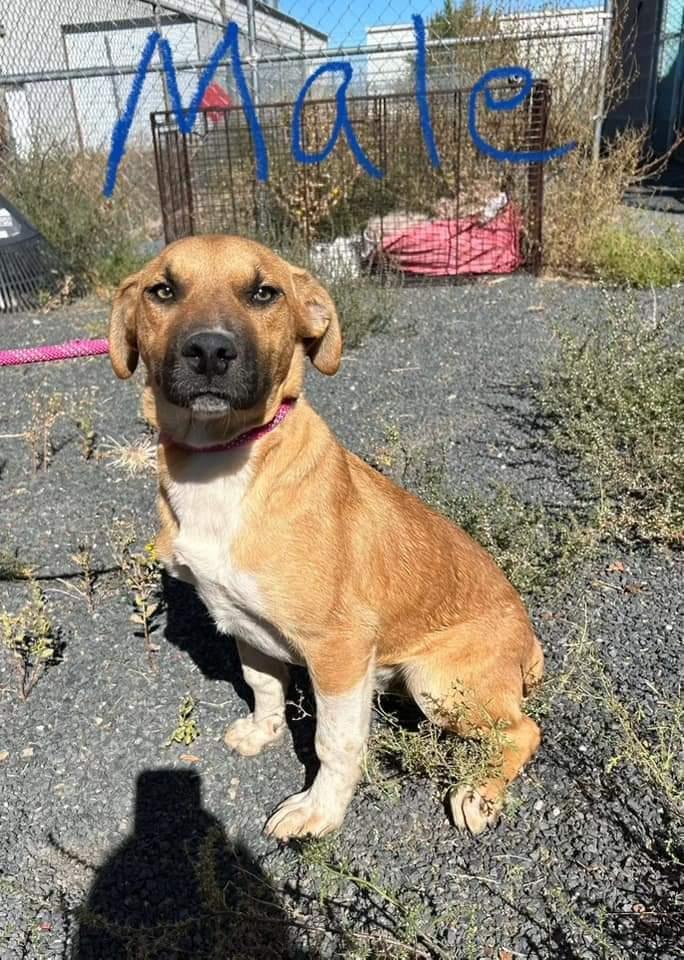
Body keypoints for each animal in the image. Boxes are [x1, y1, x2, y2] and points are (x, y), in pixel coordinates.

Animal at [109, 236, 544, 836]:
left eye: (263, 293)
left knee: (523, 730)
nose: (210, 352)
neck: (220, 465)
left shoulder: (339, 648)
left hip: (435, 683)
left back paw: (480, 791)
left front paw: (319, 810)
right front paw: (263, 731)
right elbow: (264, 686)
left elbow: (333, 742)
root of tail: (529, 640)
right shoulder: (245, 623)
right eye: (163, 290)